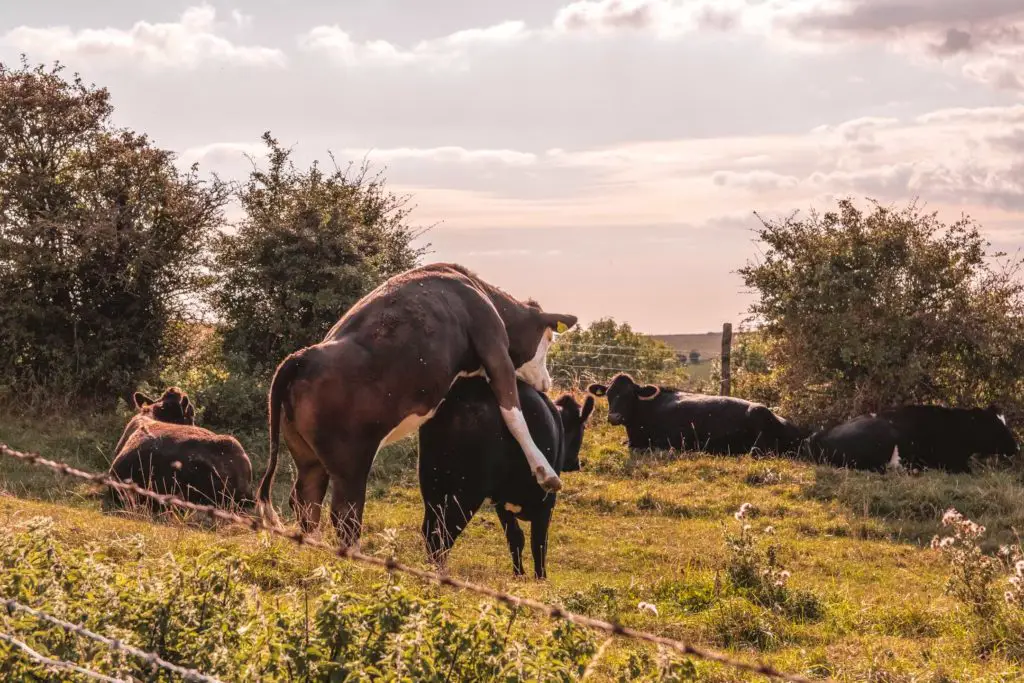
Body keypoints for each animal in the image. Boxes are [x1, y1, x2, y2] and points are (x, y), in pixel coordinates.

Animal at [256, 262, 577, 548]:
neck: (478, 290)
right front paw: (545, 472)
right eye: (549, 339)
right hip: (349, 462)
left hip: (309, 457)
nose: (547, 383)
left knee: (306, 501)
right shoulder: (495, 348)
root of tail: (302, 357)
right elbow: (514, 415)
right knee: (345, 515)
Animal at [415, 376, 593, 581]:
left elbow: (515, 538)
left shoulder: (501, 503)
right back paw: (439, 574)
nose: (576, 463)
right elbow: (539, 542)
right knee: (444, 533)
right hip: (468, 492)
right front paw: (540, 578)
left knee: (430, 529)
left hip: (432, 483)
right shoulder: (547, 501)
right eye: (583, 427)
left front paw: (519, 575)